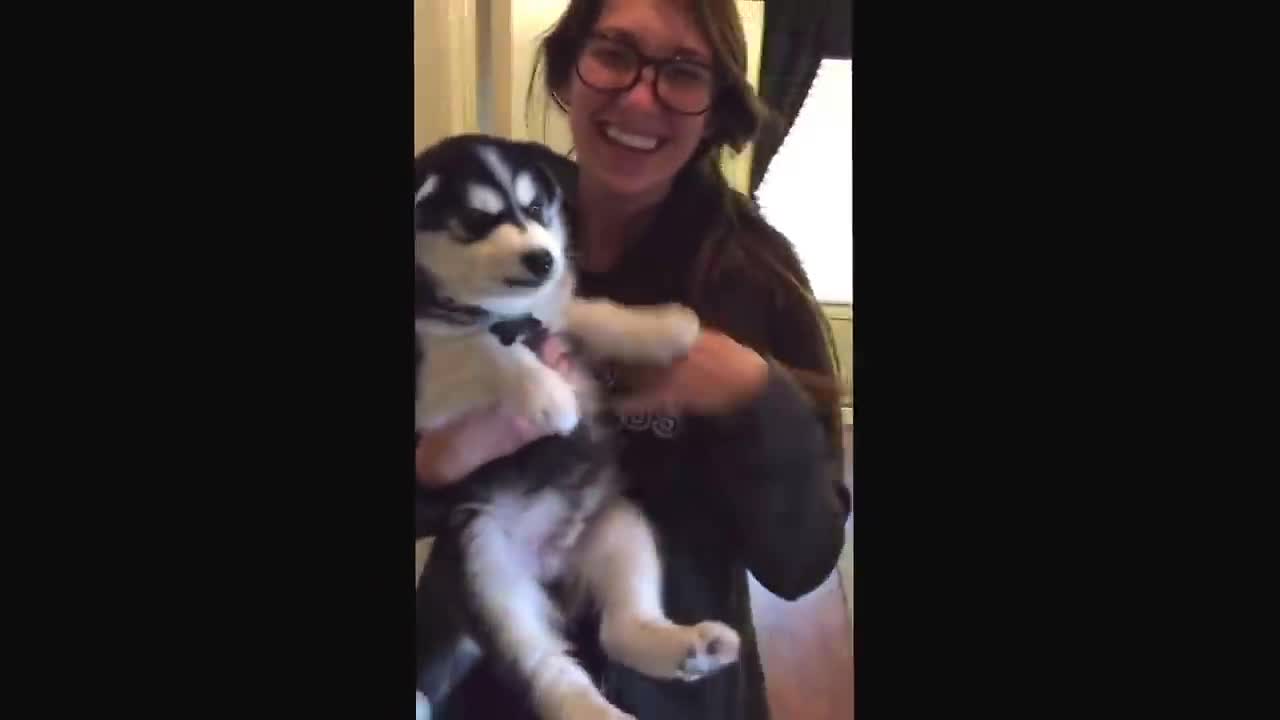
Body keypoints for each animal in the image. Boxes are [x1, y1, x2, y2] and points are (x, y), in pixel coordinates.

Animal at [414, 135, 742, 717]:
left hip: (620, 526)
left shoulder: (558, 316)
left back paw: (689, 646)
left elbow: (585, 312)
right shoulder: (429, 379)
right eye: (477, 219)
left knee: (620, 626)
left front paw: (662, 328)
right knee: (544, 668)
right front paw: (549, 395)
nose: (543, 258)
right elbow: (482, 348)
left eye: (536, 207)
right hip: (484, 563)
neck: (503, 308)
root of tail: (549, 561)